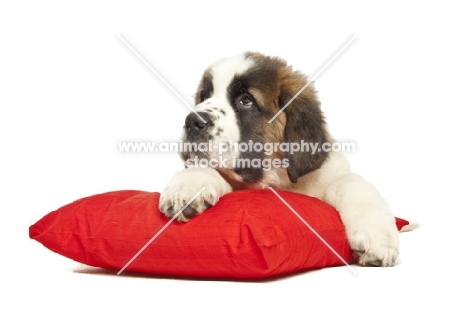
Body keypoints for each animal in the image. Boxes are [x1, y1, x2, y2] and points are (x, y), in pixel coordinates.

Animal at [160, 50, 398, 266]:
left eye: (246, 101)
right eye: (204, 97)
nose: (192, 121)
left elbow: (351, 182)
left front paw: (377, 238)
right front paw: (186, 189)